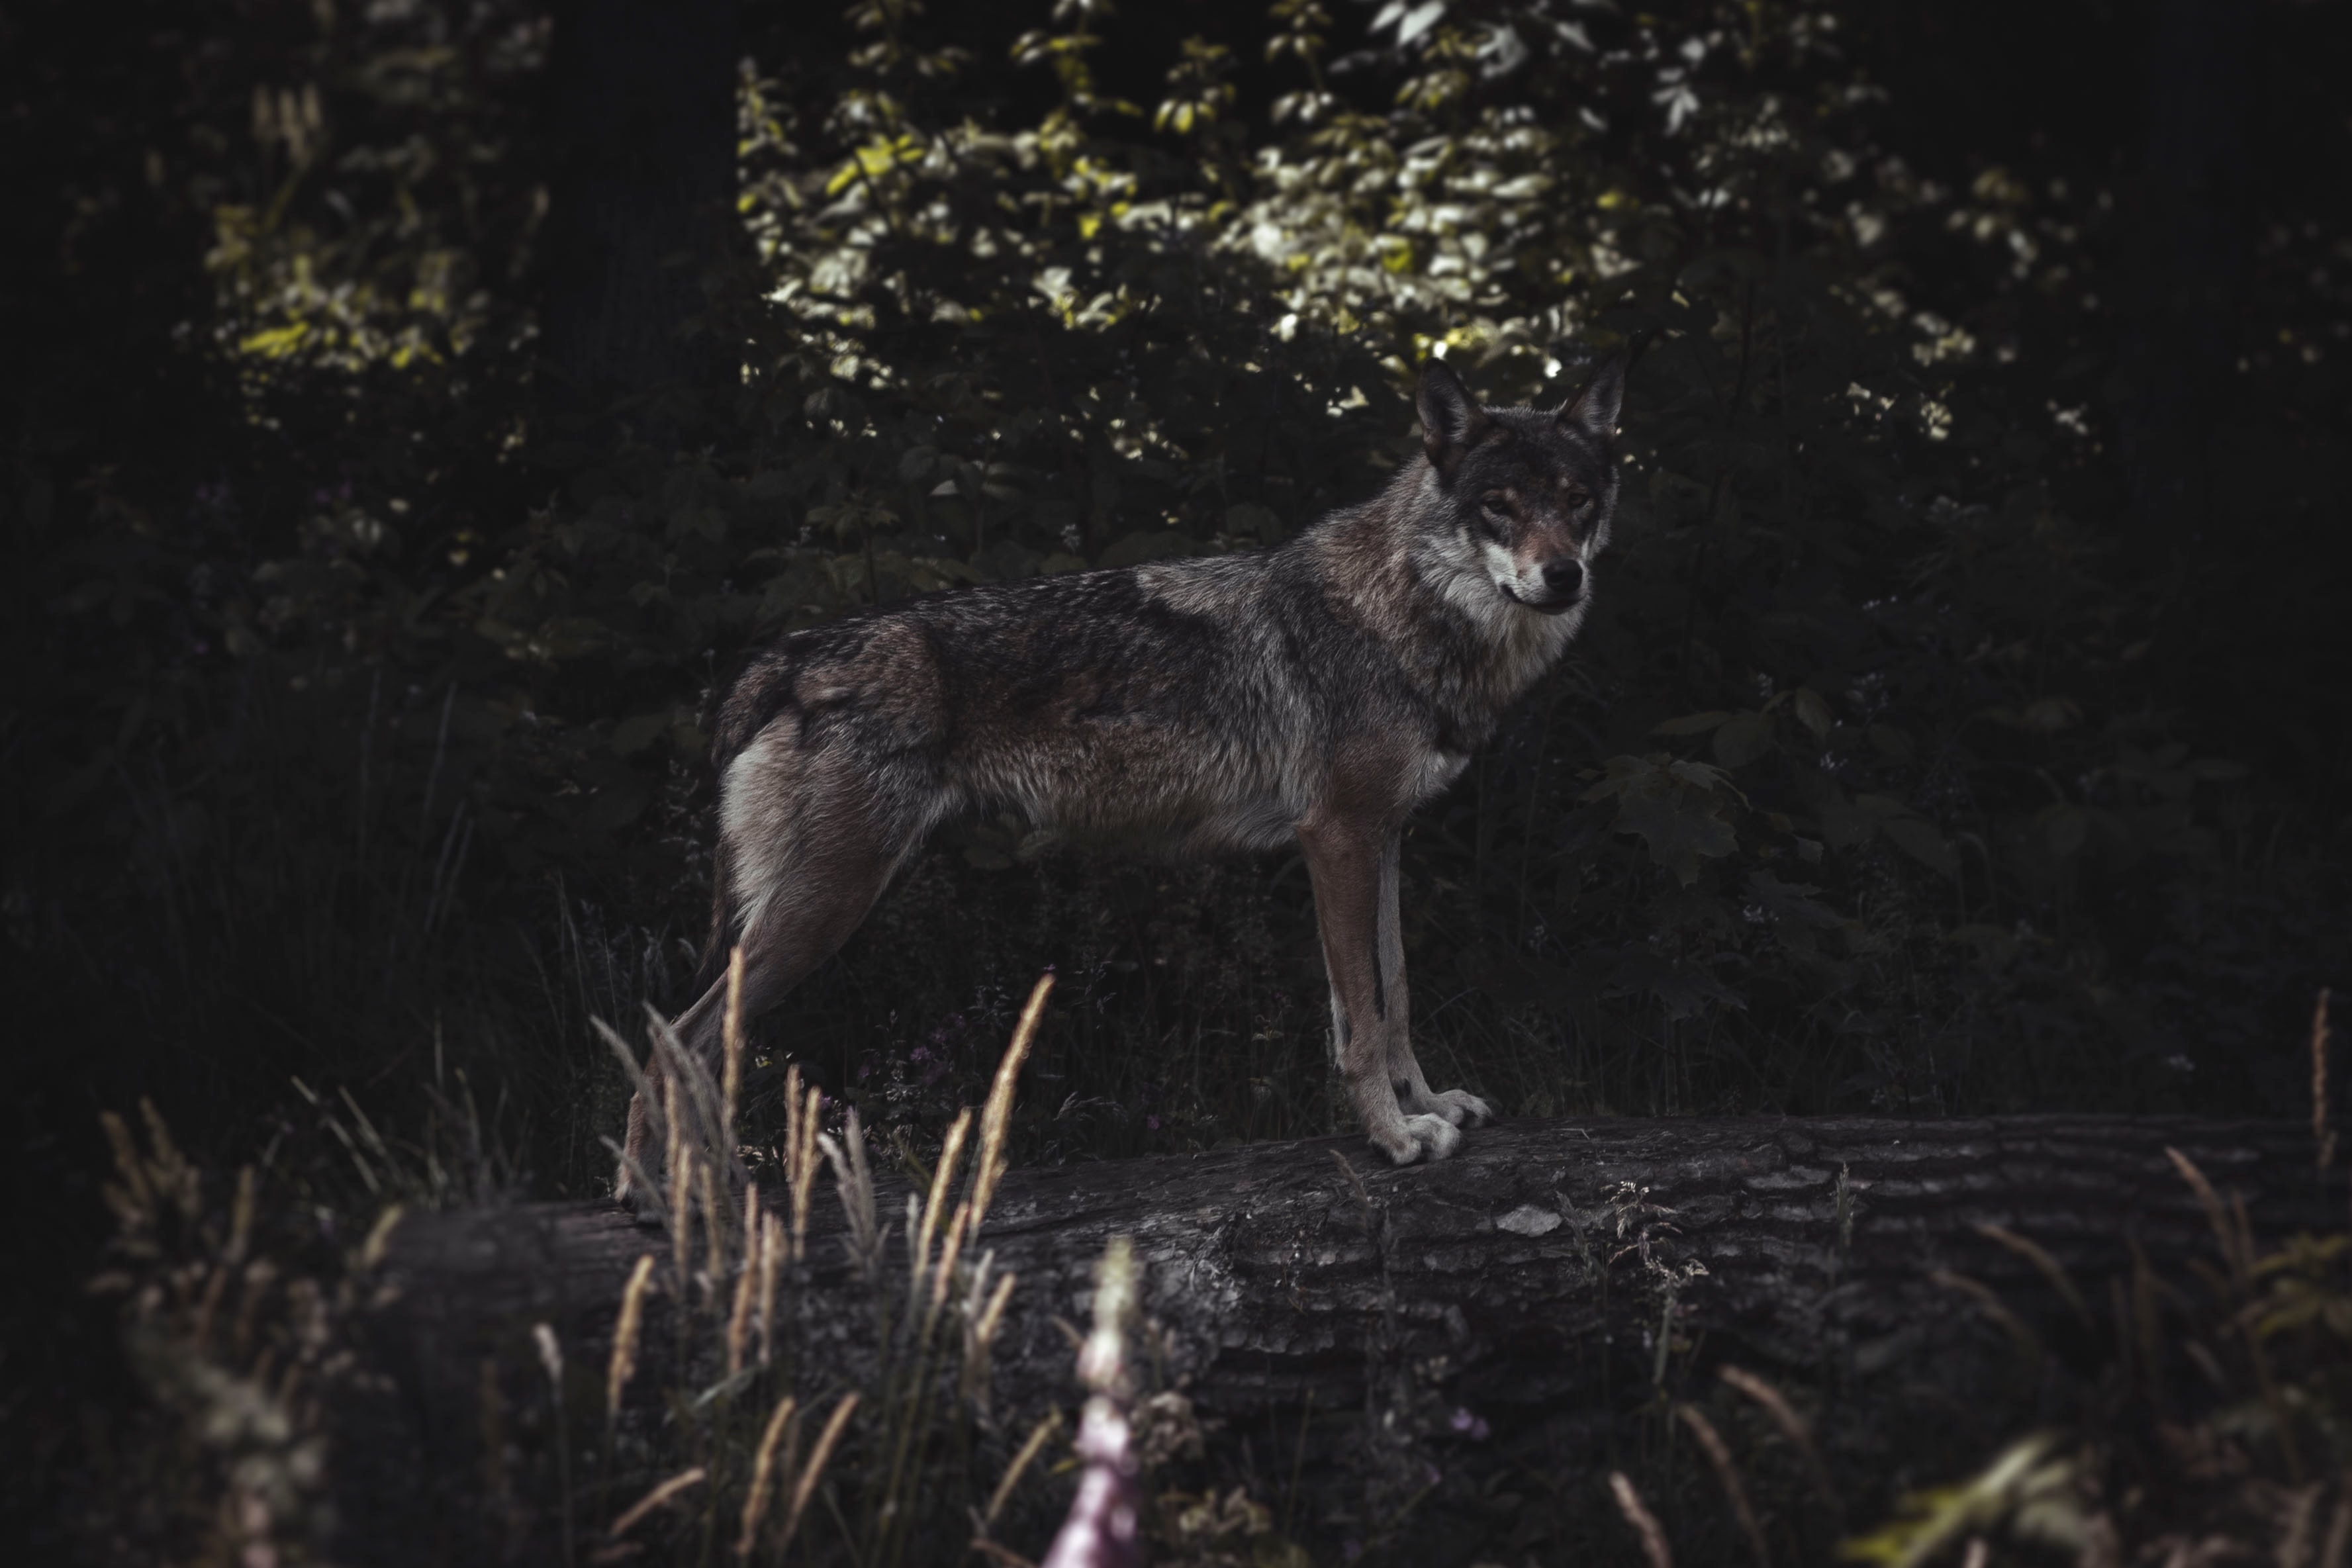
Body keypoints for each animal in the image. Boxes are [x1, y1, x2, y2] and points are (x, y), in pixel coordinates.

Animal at [617, 349, 1629, 1206]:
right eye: (1499, 506)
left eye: (1578, 500)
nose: (1562, 577)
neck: (1405, 612)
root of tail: (784, 658)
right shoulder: (1335, 839)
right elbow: (1359, 1020)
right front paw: (1391, 1137)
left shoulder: (1383, 840)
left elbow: (1399, 992)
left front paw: (1429, 1104)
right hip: (824, 906)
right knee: (677, 1036)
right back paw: (660, 1196)